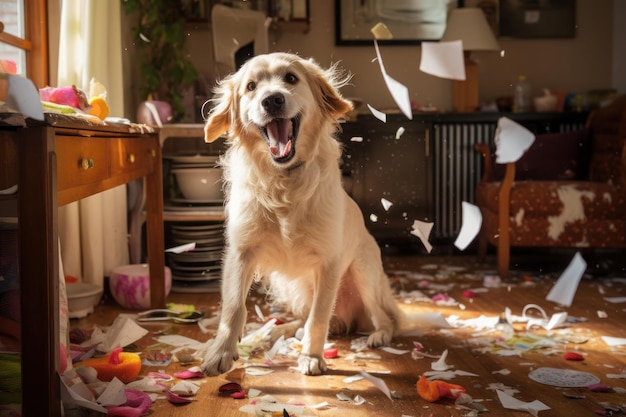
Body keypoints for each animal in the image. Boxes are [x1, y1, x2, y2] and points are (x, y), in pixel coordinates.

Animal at [200, 51, 404, 374]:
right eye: (251, 87)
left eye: (291, 78)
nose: (272, 100)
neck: (284, 181)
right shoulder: (241, 252)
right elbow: (233, 307)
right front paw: (220, 352)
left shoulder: (329, 263)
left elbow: (319, 317)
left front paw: (312, 356)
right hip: (295, 289)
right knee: (303, 318)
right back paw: (273, 330)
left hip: (364, 274)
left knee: (382, 317)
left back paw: (379, 334)